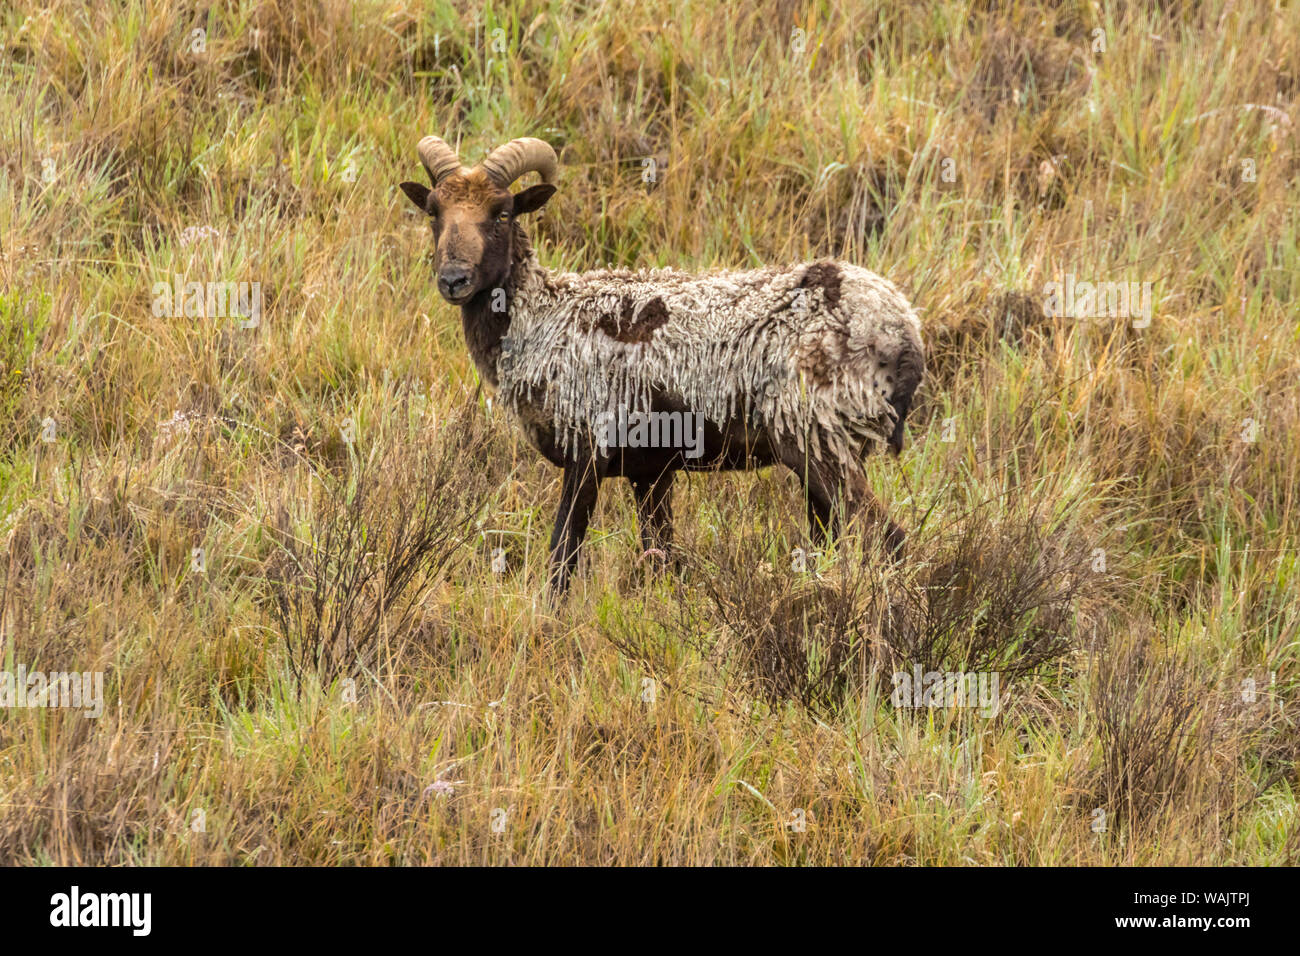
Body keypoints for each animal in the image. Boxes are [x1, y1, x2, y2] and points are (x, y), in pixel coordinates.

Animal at [397, 134, 925, 598]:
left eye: (502, 213)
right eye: (434, 212)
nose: (453, 279)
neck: (544, 317)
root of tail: (905, 329)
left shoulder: (587, 450)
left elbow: (563, 553)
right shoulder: (650, 470)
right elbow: (661, 557)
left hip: (818, 437)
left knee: (890, 538)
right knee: (833, 539)